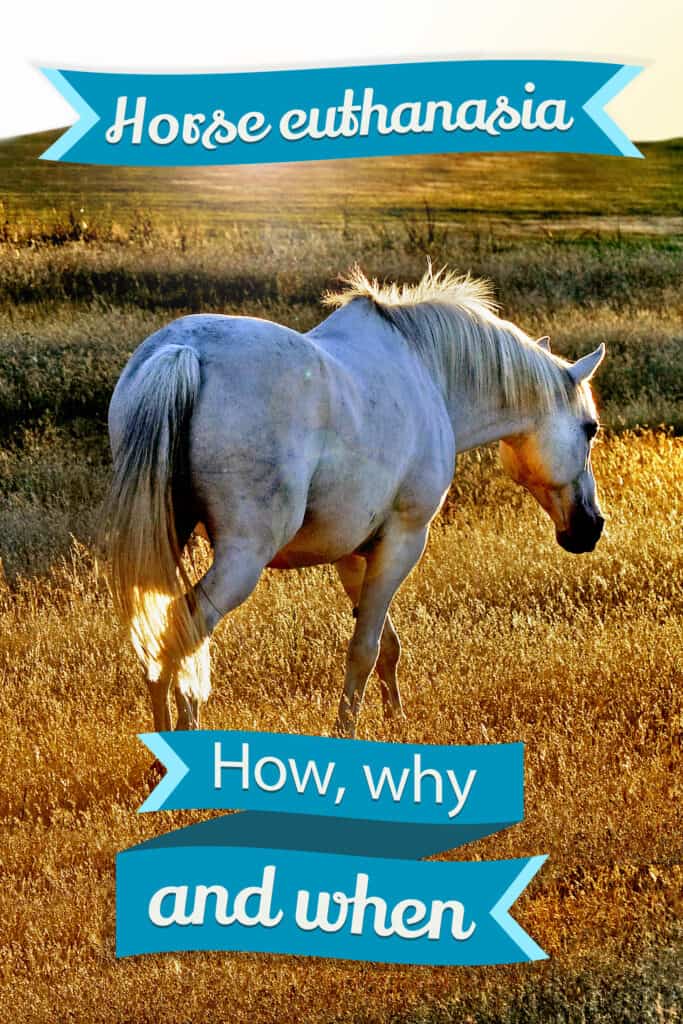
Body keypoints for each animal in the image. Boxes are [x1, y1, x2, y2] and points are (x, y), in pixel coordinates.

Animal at [107, 266, 606, 737]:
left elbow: (386, 646)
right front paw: (348, 731)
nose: (591, 527)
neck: (426, 371)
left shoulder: (351, 552)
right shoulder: (403, 541)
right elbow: (365, 649)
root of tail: (183, 352)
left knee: (158, 635)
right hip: (243, 557)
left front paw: (396, 720)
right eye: (590, 428)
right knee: (187, 624)